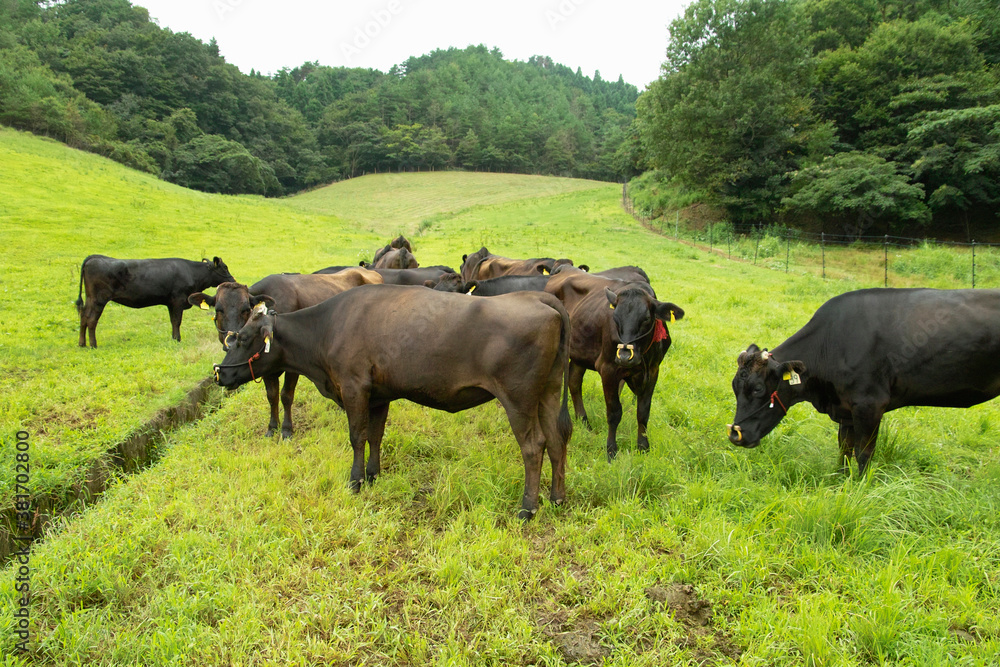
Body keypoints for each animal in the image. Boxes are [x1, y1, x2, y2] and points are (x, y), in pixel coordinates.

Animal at [76, 255, 234, 348]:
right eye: (224, 268)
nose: (233, 280)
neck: (192, 273)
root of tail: (94, 257)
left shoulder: (171, 303)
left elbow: (173, 321)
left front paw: (174, 338)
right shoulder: (178, 300)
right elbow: (177, 321)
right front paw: (178, 339)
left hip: (91, 299)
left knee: (83, 317)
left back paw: (82, 344)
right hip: (99, 299)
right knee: (91, 320)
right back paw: (93, 344)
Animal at [188, 267, 383, 438]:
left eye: (246, 309)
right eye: (218, 309)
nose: (231, 341)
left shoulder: (294, 364)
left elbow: (286, 395)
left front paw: (287, 429)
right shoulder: (265, 365)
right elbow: (272, 396)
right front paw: (272, 426)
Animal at [212, 285, 573, 519]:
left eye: (243, 338)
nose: (219, 374)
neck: (328, 327)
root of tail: (540, 297)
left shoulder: (354, 387)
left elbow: (357, 436)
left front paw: (355, 481)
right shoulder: (378, 395)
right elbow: (375, 435)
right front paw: (373, 475)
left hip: (518, 398)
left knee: (534, 446)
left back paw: (528, 507)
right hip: (549, 391)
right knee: (557, 441)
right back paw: (557, 499)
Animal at [545, 271, 684, 459]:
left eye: (646, 318)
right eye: (615, 317)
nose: (624, 356)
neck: (643, 358)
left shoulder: (654, 371)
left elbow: (643, 411)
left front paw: (643, 446)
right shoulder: (608, 369)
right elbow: (614, 412)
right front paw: (611, 450)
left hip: (580, 353)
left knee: (574, 382)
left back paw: (584, 421)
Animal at [728, 288, 1000, 476]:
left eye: (758, 389)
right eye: (735, 388)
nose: (735, 436)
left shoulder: (870, 404)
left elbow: (863, 452)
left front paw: (860, 486)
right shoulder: (845, 409)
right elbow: (844, 448)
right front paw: (840, 478)